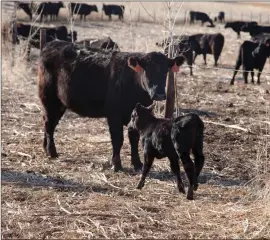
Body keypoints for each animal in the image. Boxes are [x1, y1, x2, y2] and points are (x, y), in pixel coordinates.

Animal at [38, 40, 186, 172]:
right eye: (147, 71)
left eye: (166, 71)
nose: (159, 94)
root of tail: (52, 43)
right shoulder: (114, 115)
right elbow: (117, 139)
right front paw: (116, 164)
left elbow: (134, 138)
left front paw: (137, 164)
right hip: (49, 98)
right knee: (49, 123)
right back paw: (52, 152)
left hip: (60, 103)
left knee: (50, 123)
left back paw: (45, 148)